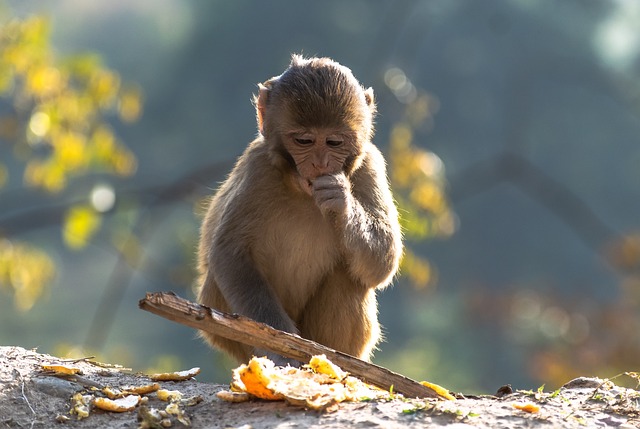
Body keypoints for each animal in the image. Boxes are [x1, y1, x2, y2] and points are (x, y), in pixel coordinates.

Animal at [198, 55, 402, 366]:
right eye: (304, 141)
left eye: (334, 142)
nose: (320, 164)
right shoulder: (258, 169)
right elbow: (230, 255)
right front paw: (280, 350)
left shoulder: (371, 164)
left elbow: (384, 260)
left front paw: (341, 201)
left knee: (350, 277)